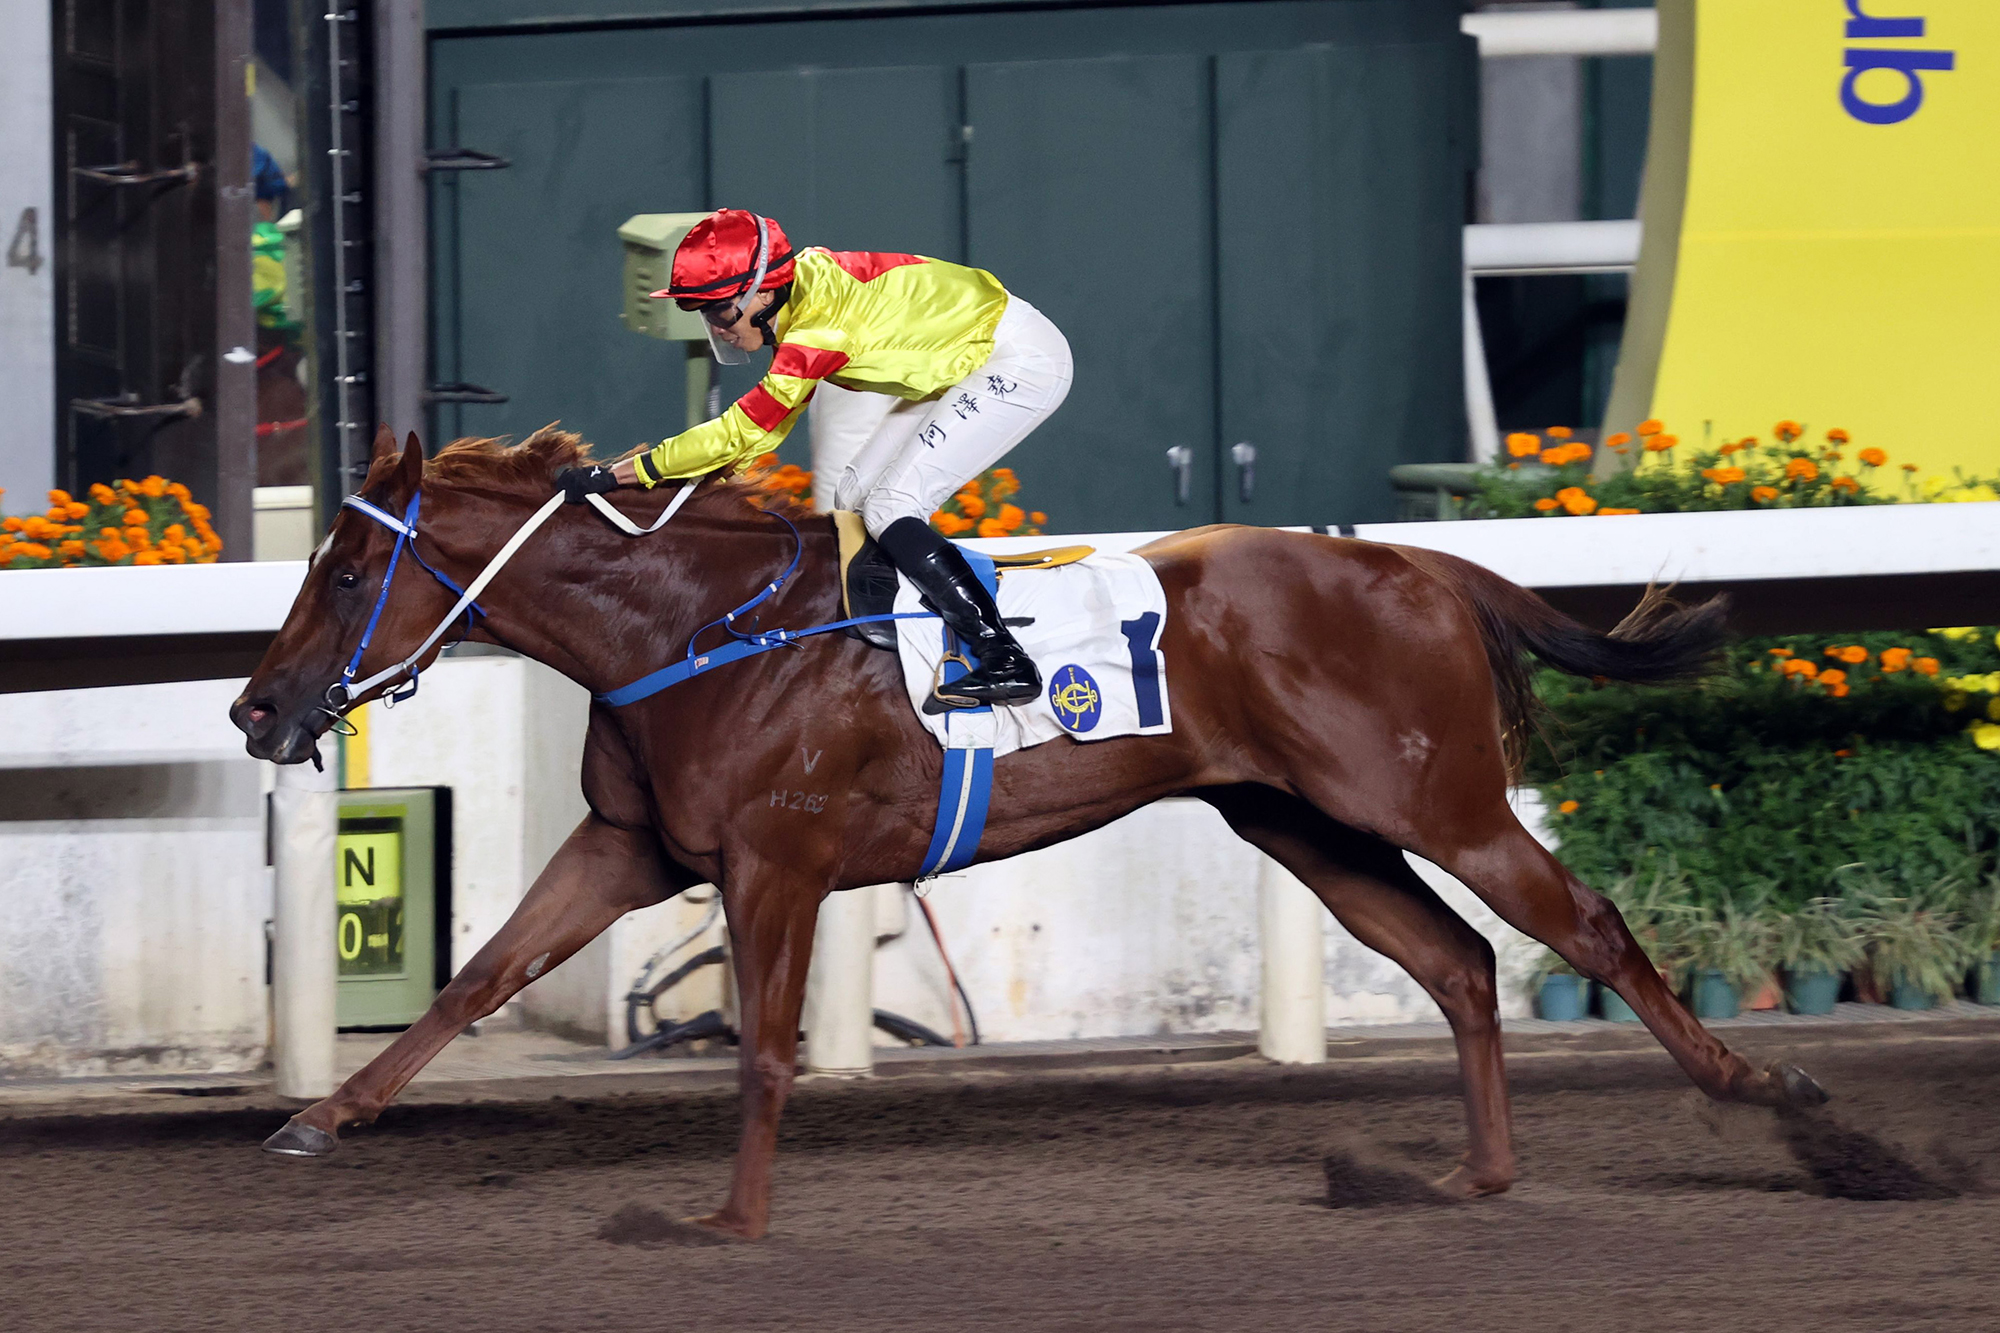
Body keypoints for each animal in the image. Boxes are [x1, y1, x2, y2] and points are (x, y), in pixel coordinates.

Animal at [234, 426, 1832, 1232]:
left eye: (345, 568)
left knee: (1586, 928)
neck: (692, 631)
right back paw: (1468, 1175)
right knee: (1460, 966)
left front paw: (730, 1219)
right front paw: (319, 1118)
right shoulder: (634, 848)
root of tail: (1419, 565)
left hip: (1429, 798)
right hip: (1309, 825)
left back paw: (1785, 1103)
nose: (256, 710)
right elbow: (479, 976)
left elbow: (761, 1046)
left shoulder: (777, 862)